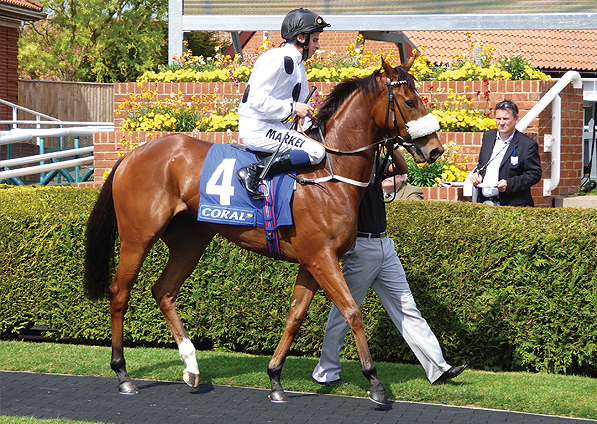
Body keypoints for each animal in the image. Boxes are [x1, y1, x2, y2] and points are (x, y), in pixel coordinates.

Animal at [85, 58, 442, 406]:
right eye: (410, 101)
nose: (435, 150)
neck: (328, 175)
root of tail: (130, 155)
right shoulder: (322, 258)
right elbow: (352, 312)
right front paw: (374, 382)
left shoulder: (311, 261)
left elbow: (295, 315)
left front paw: (275, 378)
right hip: (138, 237)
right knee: (119, 292)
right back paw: (123, 374)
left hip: (190, 242)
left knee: (164, 292)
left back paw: (191, 366)